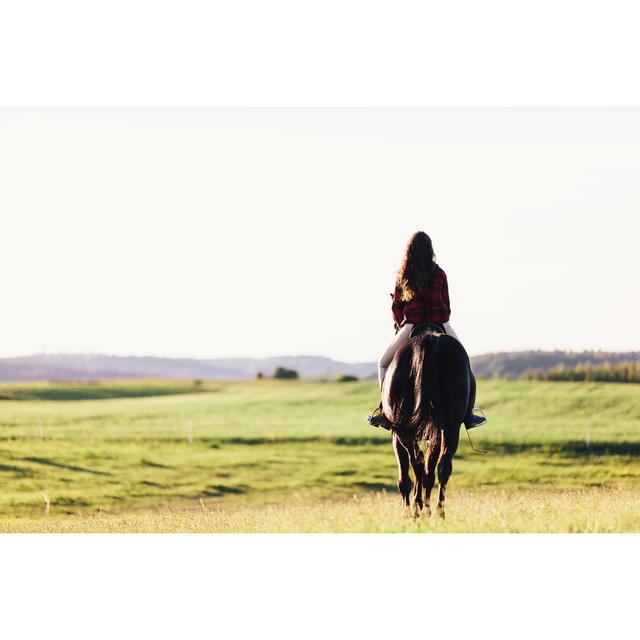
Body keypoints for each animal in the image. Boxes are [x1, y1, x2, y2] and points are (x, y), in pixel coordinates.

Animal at [380, 324, 476, 520]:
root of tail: (430, 340)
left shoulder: (395, 435)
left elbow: (405, 477)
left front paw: (407, 511)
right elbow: (429, 467)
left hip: (404, 430)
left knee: (417, 463)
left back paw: (418, 509)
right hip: (451, 426)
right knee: (442, 466)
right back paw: (437, 512)